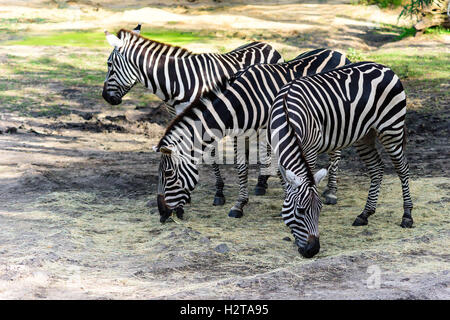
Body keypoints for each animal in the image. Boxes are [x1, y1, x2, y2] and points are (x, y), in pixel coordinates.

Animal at [103, 24, 284, 205]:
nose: (105, 97)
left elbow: (211, 156)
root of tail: (267, 44)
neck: (178, 82)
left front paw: (219, 192)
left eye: (109, 64)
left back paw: (261, 182)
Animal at [153, 48, 350, 221]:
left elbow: (278, 167)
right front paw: (239, 204)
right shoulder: (238, 135)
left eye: (168, 174)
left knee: (336, 152)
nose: (162, 215)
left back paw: (331, 192)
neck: (240, 102)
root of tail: (336, 51)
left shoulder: (271, 132)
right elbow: (242, 168)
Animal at [268, 62, 414, 258]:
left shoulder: (310, 150)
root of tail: (386, 67)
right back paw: (365, 214)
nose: (313, 250)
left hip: (391, 129)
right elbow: (286, 184)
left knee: (402, 168)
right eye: (300, 210)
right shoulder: (275, 153)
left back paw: (407, 215)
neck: (286, 114)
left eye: (319, 209)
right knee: (377, 168)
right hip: (365, 135)